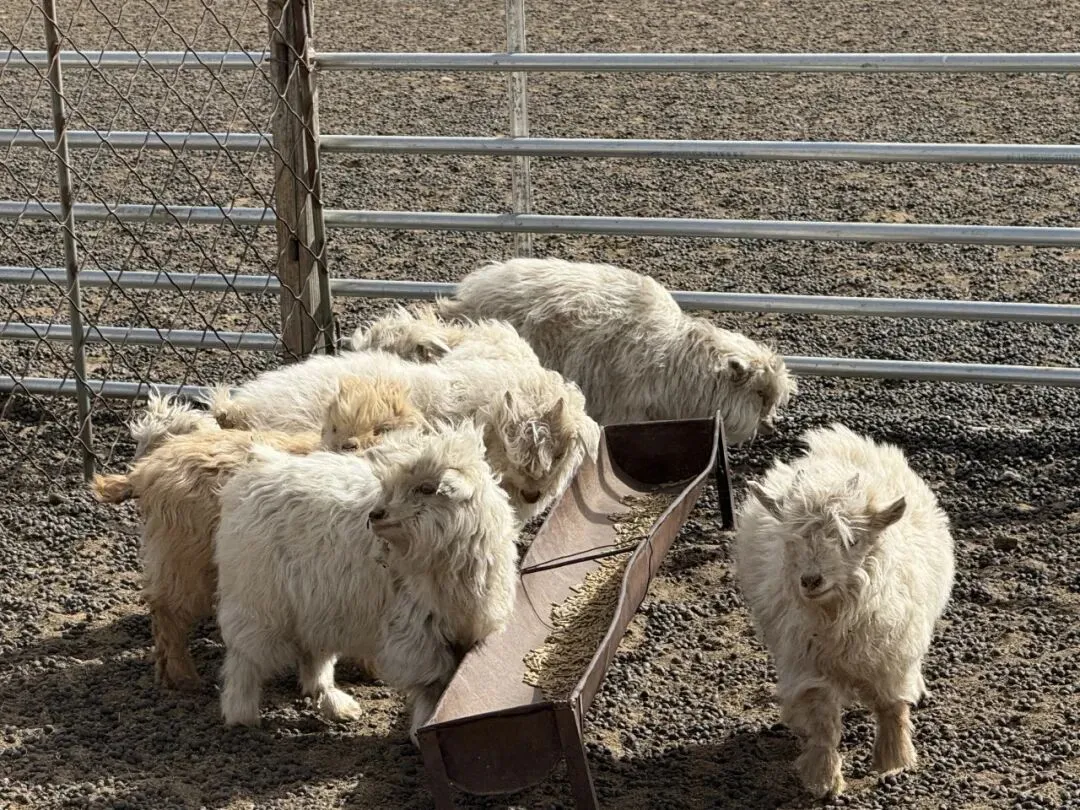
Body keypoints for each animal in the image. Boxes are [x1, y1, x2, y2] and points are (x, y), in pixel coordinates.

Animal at [90, 374, 422, 689]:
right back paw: (184, 677)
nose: (350, 447)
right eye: (336, 427)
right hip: (186, 557)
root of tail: (146, 470)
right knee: (168, 610)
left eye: (383, 427)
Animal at [213, 420, 518, 743]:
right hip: (257, 603)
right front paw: (422, 727)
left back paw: (335, 703)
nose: (376, 515)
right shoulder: (417, 630)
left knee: (313, 654)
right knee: (244, 659)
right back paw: (241, 715)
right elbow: (432, 685)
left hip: (315, 605)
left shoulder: (466, 627)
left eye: (426, 488)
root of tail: (258, 468)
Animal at [733, 423, 954, 798]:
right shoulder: (808, 665)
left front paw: (894, 761)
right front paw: (823, 780)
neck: (838, 614)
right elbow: (823, 722)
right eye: (792, 540)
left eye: (851, 541)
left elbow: (892, 706)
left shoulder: (893, 653)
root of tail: (834, 441)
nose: (811, 579)